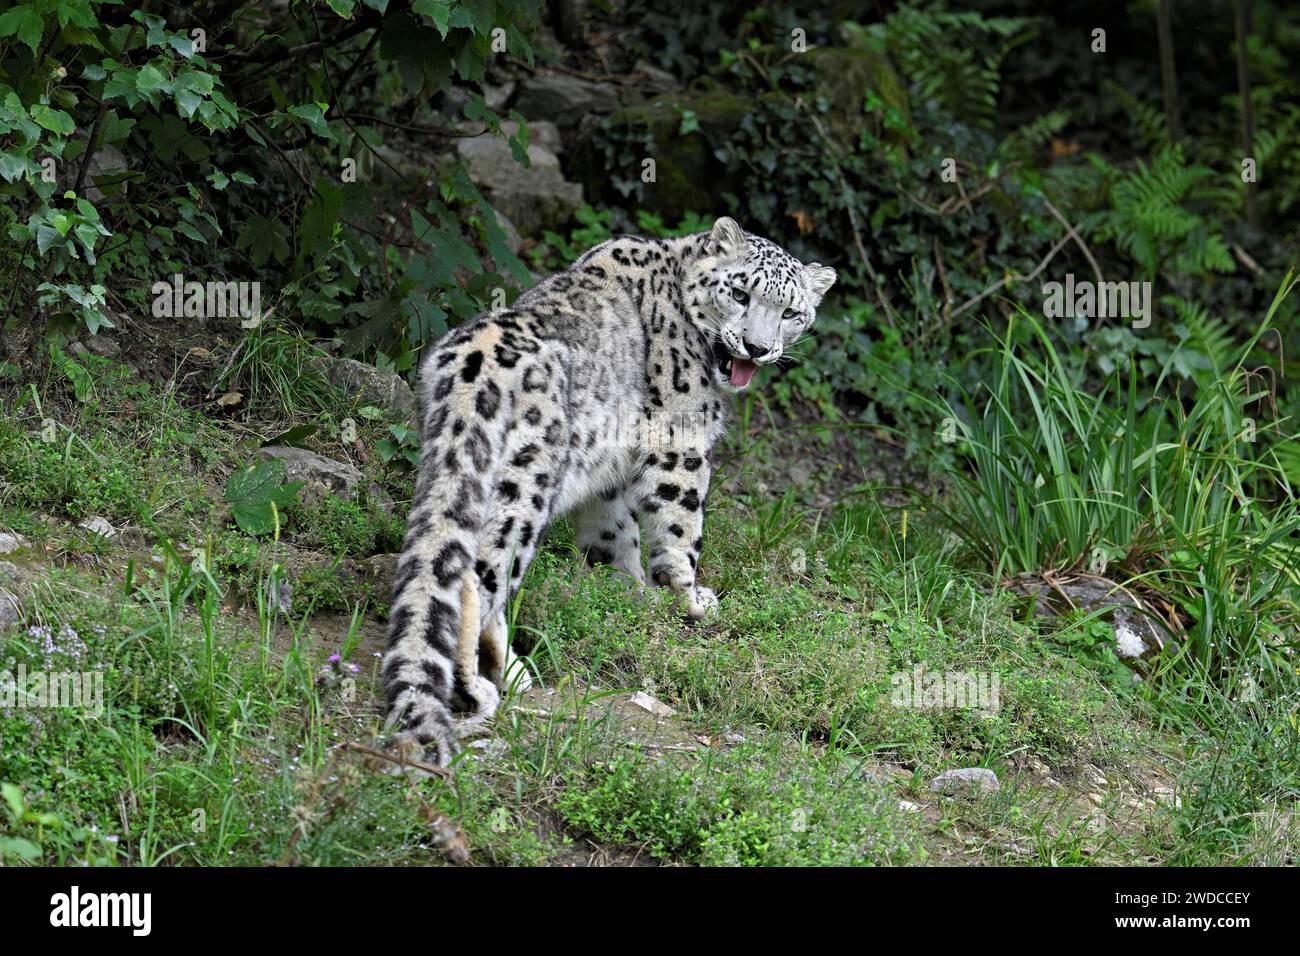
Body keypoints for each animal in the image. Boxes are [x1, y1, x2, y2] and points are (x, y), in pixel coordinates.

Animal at [379, 217, 837, 764]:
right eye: (740, 293)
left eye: (791, 312)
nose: (757, 348)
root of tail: (471, 363)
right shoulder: (680, 444)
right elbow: (681, 528)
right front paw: (691, 598)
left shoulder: (609, 474)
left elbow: (614, 534)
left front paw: (629, 590)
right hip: (525, 487)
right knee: (482, 575)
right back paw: (486, 683)